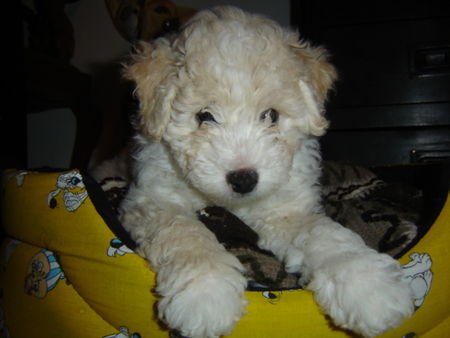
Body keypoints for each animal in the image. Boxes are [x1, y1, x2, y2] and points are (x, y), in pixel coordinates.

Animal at [119, 5, 414, 338]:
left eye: (270, 115)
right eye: (204, 116)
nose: (243, 179)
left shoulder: (285, 211)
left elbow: (323, 234)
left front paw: (368, 284)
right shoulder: (153, 201)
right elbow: (183, 232)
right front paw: (205, 292)